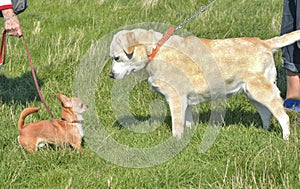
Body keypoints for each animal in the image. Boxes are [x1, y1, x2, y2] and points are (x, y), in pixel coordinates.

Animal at [109, 28, 300, 140]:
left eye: (117, 58)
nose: (110, 74)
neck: (156, 50)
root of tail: (263, 42)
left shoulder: (176, 98)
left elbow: (176, 125)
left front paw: (175, 141)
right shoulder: (185, 101)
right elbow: (187, 121)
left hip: (260, 89)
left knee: (282, 116)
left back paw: (285, 138)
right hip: (252, 92)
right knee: (266, 113)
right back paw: (264, 131)